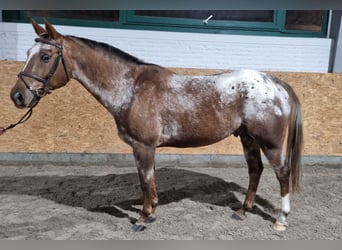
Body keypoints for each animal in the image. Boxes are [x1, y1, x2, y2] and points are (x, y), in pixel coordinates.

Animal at [9, 19, 302, 232]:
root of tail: (276, 82)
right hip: (247, 137)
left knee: (282, 173)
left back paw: (281, 221)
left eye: (46, 57)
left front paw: (143, 218)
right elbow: (148, 181)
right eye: (28, 53)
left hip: (270, 143)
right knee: (255, 170)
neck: (132, 88)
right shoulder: (143, 148)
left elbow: (145, 181)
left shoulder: (143, 147)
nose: (18, 96)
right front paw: (150, 213)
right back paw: (243, 211)